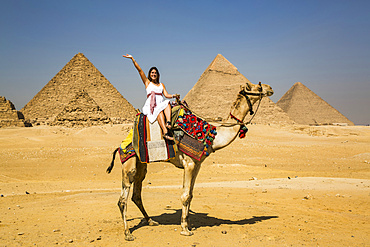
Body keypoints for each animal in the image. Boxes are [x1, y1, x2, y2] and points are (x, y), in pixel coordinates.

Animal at [105, 81, 274, 241]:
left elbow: (191, 195)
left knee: (137, 193)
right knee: (122, 199)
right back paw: (128, 233)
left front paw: (189, 224)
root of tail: (120, 145)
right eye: (258, 87)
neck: (213, 137)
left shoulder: (198, 165)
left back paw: (151, 221)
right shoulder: (189, 163)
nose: (270, 88)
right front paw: (185, 229)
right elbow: (185, 196)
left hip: (142, 163)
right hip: (129, 163)